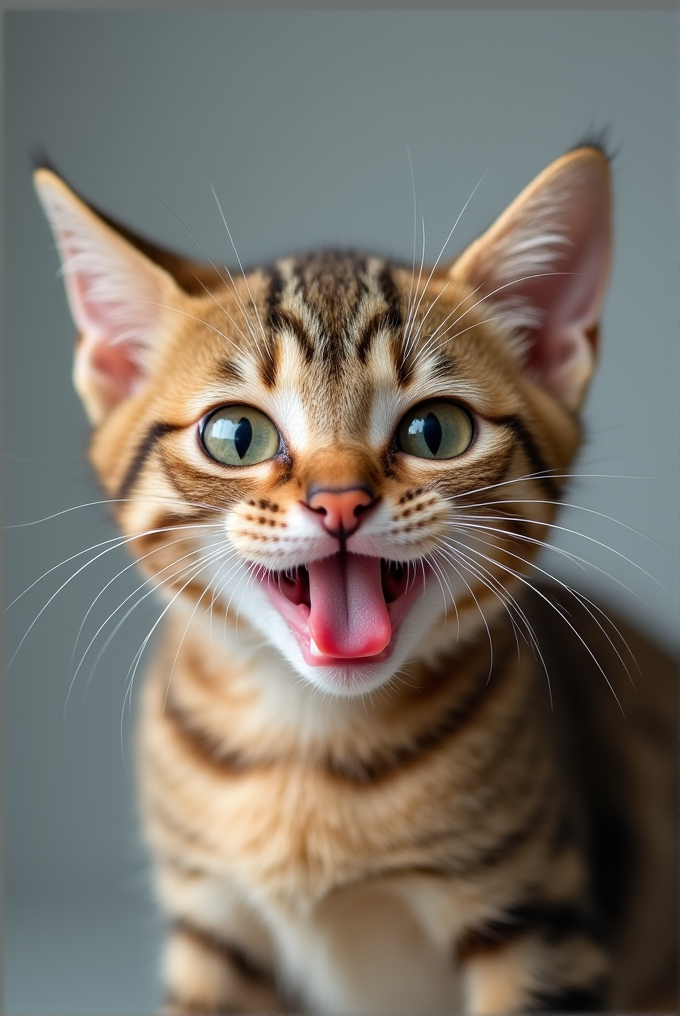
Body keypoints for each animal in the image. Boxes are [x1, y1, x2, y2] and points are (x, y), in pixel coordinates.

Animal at [34, 150, 674, 1016]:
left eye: (435, 431)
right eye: (236, 435)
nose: (339, 499)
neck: (310, 748)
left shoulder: (538, 923)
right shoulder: (213, 924)